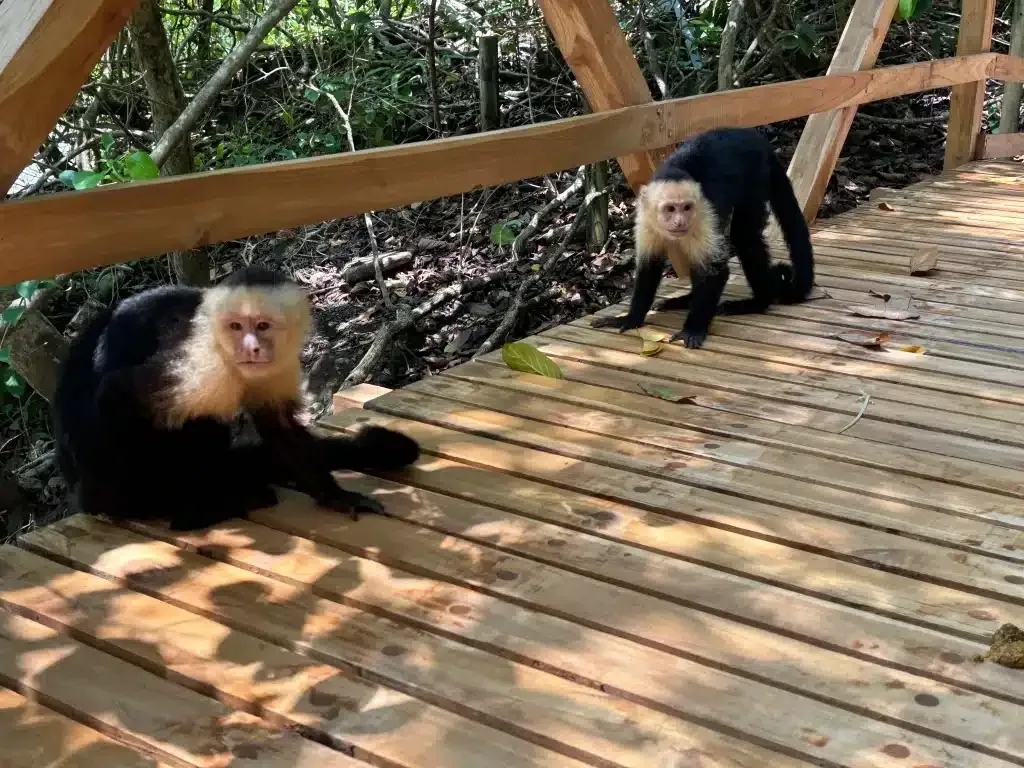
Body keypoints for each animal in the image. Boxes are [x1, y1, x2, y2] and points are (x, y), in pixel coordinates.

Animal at [51, 265, 420, 531]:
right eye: (235, 327)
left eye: (262, 326)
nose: (250, 348)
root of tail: (85, 496)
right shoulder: (197, 359)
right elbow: (113, 395)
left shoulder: (279, 361)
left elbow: (279, 426)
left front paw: (335, 496)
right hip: (111, 484)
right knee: (192, 424)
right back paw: (190, 505)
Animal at [592, 127, 815, 349]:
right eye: (670, 209)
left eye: (687, 208)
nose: (680, 222)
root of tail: (755, 137)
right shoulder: (646, 219)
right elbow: (649, 267)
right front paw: (631, 318)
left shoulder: (704, 213)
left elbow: (715, 272)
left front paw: (693, 328)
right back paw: (685, 300)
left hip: (755, 175)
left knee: (745, 236)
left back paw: (757, 302)